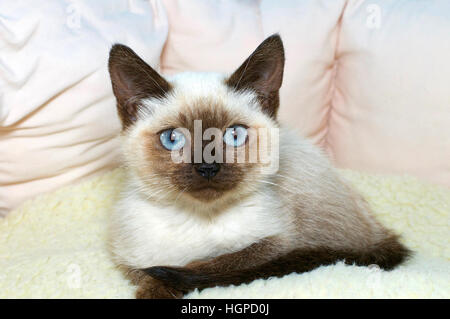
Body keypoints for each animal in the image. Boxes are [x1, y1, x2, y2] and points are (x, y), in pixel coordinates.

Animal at [107, 35, 410, 300]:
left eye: (234, 135)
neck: (201, 218)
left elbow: (214, 265)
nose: (207, 167)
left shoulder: (276, 243)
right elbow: (149, 273)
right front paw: (153, 290)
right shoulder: (129, 258)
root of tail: (379, 229)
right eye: (173, 139)